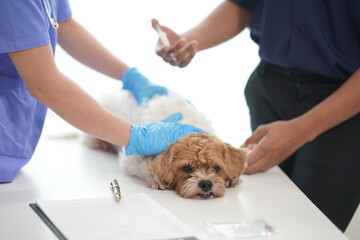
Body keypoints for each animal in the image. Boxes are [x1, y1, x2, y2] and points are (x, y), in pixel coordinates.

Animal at [86, 88, 248, 199]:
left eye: (216, 167)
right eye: (187, 167)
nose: (206, 183)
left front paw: (233, 179)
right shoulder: (131, 158)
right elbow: (145, 165)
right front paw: (155, 179)